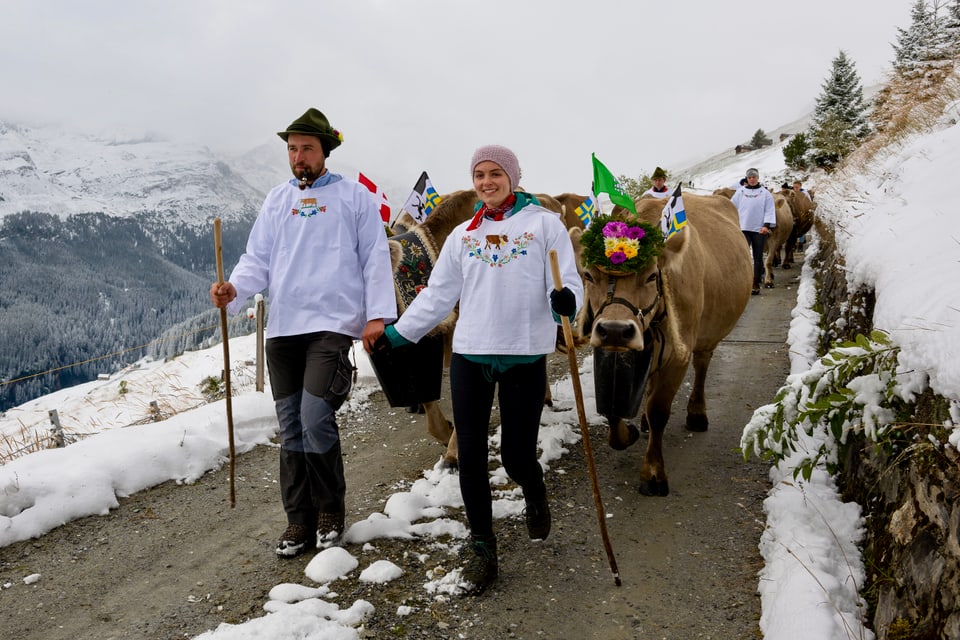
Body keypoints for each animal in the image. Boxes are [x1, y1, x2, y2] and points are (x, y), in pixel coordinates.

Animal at [568, 194, 752, 496]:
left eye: (652, 276)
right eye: (588, 275)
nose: (615, 331)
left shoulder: (678, 356)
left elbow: (658, 411)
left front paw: (653, 473)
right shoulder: (613, 353)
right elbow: (614, 408)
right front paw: (628, 433)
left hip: (706, 337)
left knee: (703, 365)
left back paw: (697, 413)